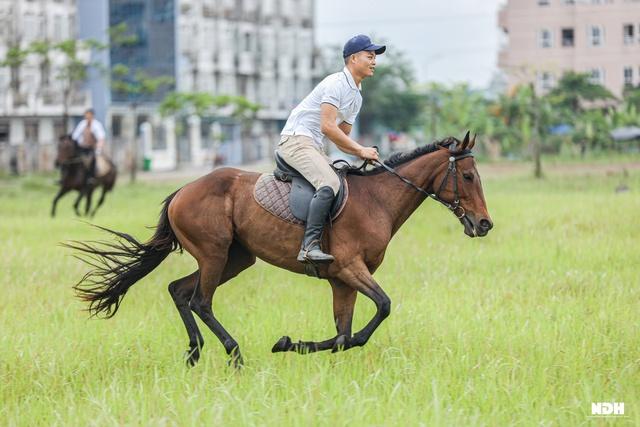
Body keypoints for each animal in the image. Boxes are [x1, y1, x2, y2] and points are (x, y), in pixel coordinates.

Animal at [67, 133, 492, 368]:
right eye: (469, 175)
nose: (484, 224)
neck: (377, 201)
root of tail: (182, 191)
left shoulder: (342, 280)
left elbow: (344, 334)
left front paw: (294, 345)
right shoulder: (350, 268)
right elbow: (381, 309)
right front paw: (288, 344)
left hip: (235, 258)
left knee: (179, 291)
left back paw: (194, 352)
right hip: (215, 254)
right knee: (201, 300)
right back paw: (234, 354)